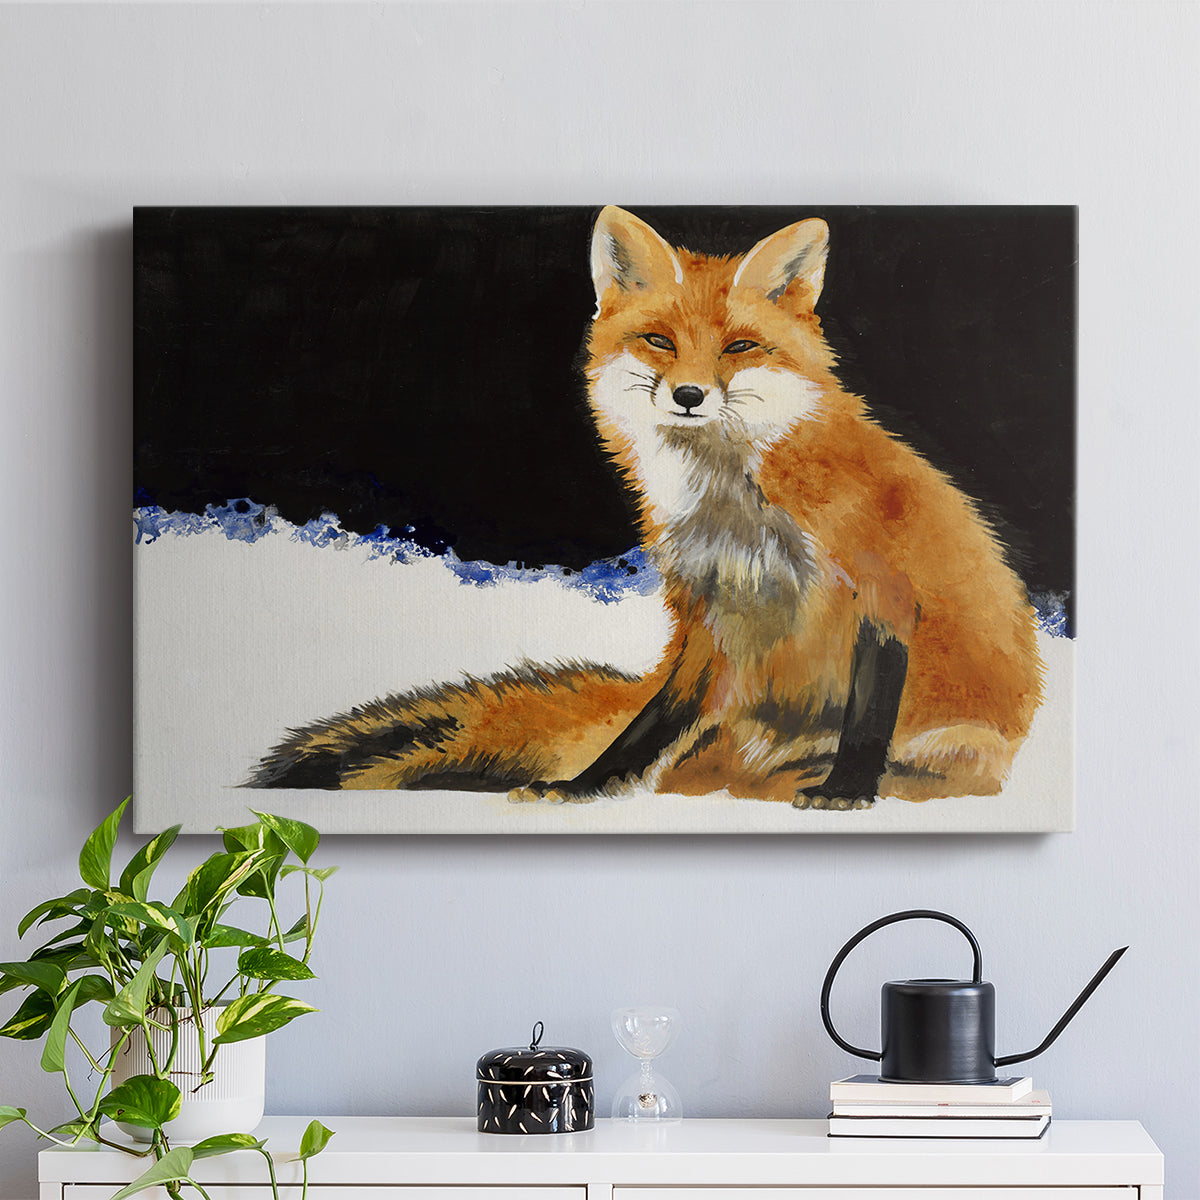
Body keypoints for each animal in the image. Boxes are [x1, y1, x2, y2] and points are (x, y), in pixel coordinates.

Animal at [248, 206, 1044, 809]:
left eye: (740, 347)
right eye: (660, 340)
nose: (689, 395)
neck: (737, 506)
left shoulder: (882, 590)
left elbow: (868, 713)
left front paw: (847, 788)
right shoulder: (706, 613)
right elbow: (648, 724)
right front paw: (584, 786)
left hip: (958, 746)